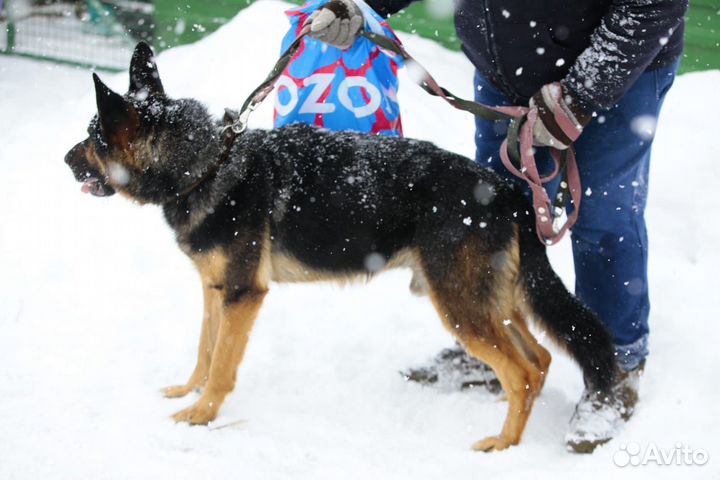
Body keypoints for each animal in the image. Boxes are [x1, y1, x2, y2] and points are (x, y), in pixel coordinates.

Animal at [64, 43, 616, 452]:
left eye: (94, 137)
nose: (65, 159)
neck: (208, 163)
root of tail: (508, 191)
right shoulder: (215, 290)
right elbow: (205, 348)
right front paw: (188, 391)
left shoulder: (243, 295)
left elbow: (222, 364)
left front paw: (202, 414)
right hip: (489, 299)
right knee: (539, 359)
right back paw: (511, 424)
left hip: (460, 304)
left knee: (521, 371)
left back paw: (503, 445)